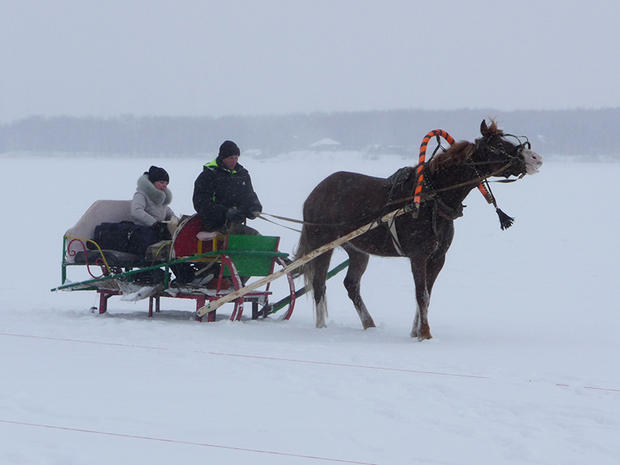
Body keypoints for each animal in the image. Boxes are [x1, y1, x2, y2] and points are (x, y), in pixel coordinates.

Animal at [296, 118, 544, 338]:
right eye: (498, 146)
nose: (536, 158)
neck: (432, 197)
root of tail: (315, 193)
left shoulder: (437, 258)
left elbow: (426, 295)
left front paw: (415, 331)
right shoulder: (419, 255)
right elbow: (421, 294)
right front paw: (424, 334)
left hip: (358, 250)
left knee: (351, 284)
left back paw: (369, 325)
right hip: (322, 245)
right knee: (319, 284)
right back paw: (321, 327)